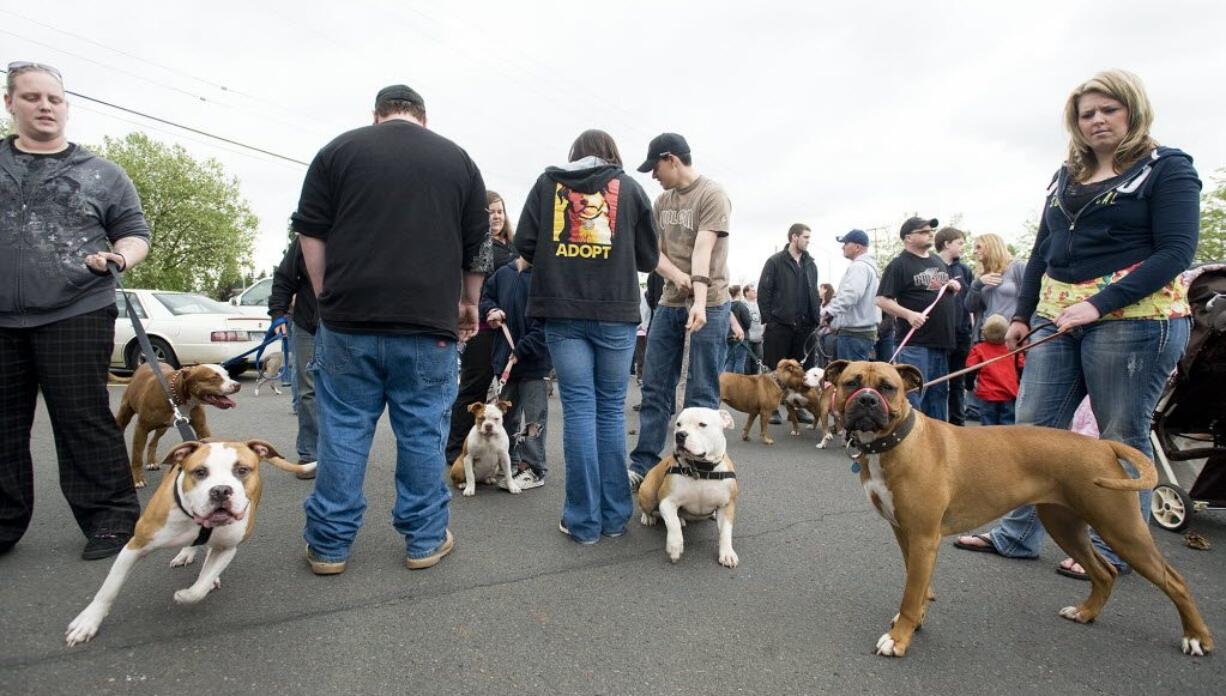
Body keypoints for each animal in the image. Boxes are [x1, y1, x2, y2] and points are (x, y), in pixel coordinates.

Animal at [65, 441, 318, 646]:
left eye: (242, 470)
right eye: (200, 472)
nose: (221, 490)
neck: (198, 521)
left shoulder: (228, 548)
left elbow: (199, 588)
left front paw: (185, 594)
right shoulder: (135, 546)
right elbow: (109, 589)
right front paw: (87, 622)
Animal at [823, 362, 1216, 661]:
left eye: (888, 387)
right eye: (851, 382)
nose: (867, 400)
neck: (894, 441)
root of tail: (1102, 445)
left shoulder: (922, 537)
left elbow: (911, 592)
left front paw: (900, 638)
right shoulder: (906, 535)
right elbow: (919, 586)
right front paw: (916, 620)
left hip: (1122, 530)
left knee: (1174, 581)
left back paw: (1197, 637)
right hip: (1065, 526)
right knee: (1104, 573)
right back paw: (1085, 613)